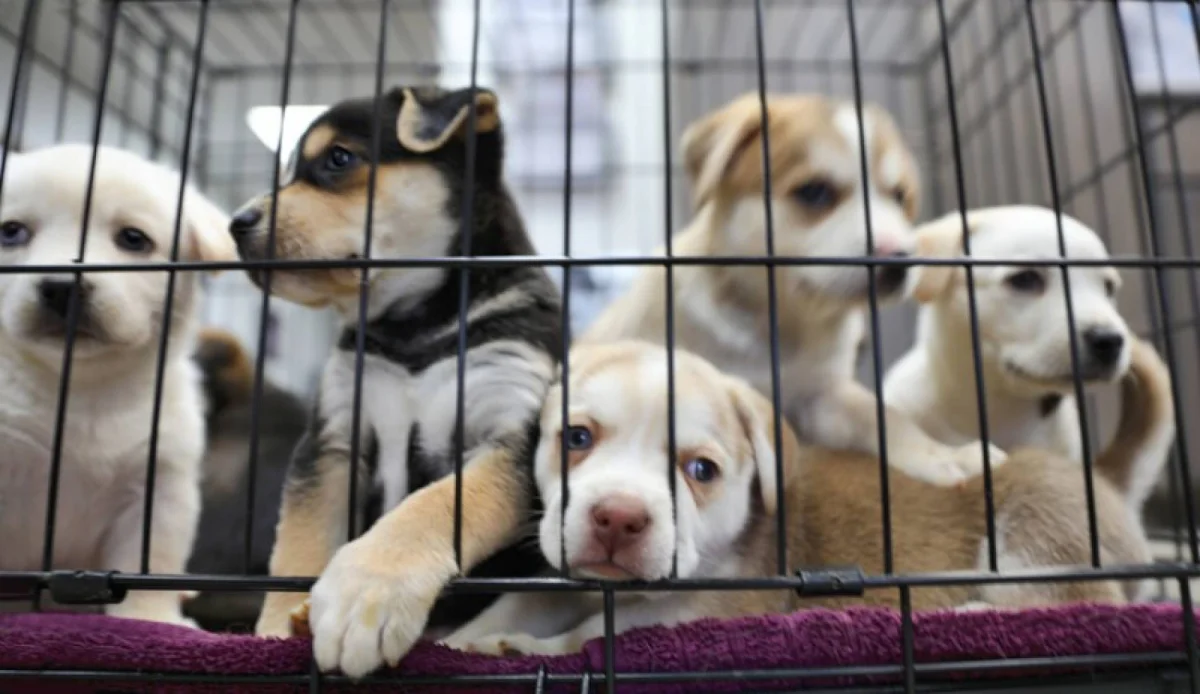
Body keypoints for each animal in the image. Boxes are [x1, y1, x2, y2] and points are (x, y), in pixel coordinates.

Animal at [0, 143, 236, 625]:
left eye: (133, 238)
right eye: (11, 232)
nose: (62, 287)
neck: (81, 388)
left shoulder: (160, 488)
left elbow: (150, 564)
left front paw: (152, 619)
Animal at [228, 85, 562, 675]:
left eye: (339, 159)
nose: (237, 223)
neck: (415, 328)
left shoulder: (511, 430)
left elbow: (435, 503)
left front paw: (366, 592)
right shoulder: (331, 440)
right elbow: (300, 542)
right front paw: (274, 627)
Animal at [438, 338, 1164, 656]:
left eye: (701, 470)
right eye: (577, 437)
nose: (618, 518)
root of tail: (1104, 480)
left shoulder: (708, 607)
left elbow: (596, 635)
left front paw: (528, 650)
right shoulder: (561, 577)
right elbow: (514, 604)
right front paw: (459, 640)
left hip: (1034, 526)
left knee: (1078, 600)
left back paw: (968, 613)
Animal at [580, 92, 1003, 487]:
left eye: (898, 196)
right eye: (814, 192)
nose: (899, 261)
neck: (780, 321)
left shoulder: (825, 397)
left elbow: (883, 416)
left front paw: (943, 455)